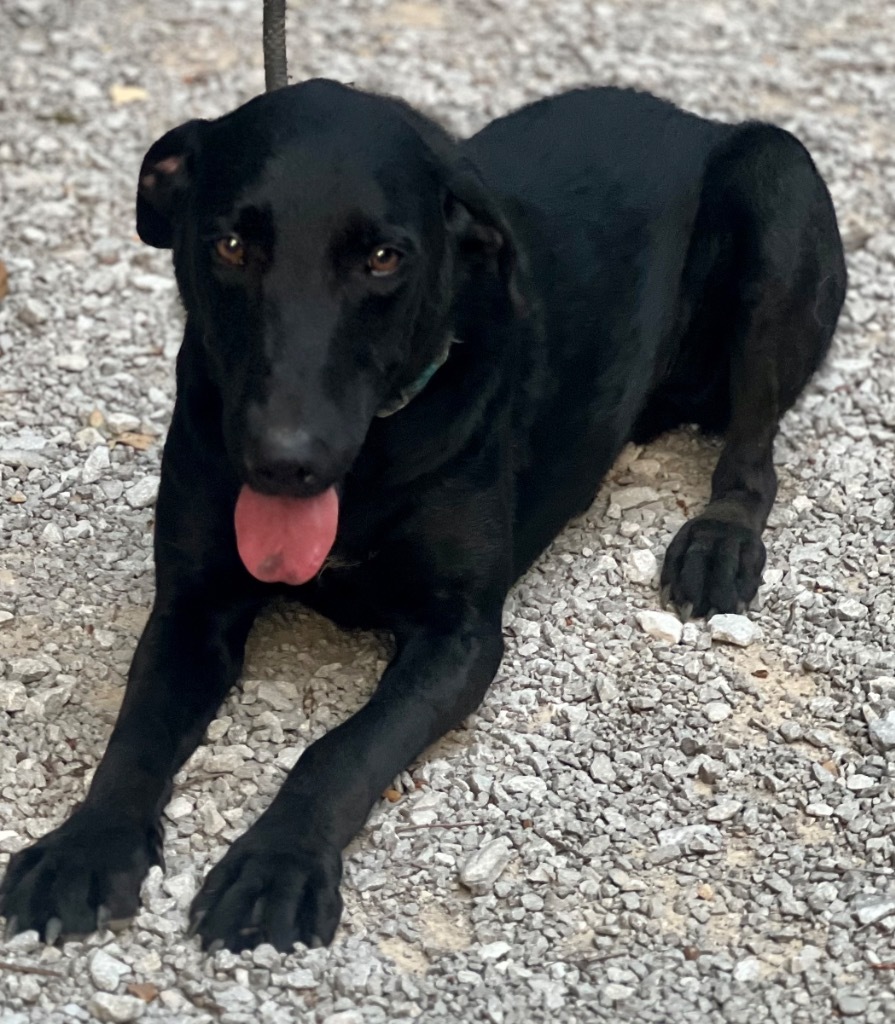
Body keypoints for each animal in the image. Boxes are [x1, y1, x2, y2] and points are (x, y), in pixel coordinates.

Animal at [0, 79, 839, 950]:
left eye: (382, 259)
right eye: (231, 246)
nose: (284, 461)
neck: (369, 465)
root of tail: (690, 118)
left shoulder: (458, 635)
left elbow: (342, 749)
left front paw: (278, 865)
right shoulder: (193, 606)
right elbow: (137, 731)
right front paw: (84, 847)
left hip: (774, 183)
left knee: (752, 454)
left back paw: (719, 543)